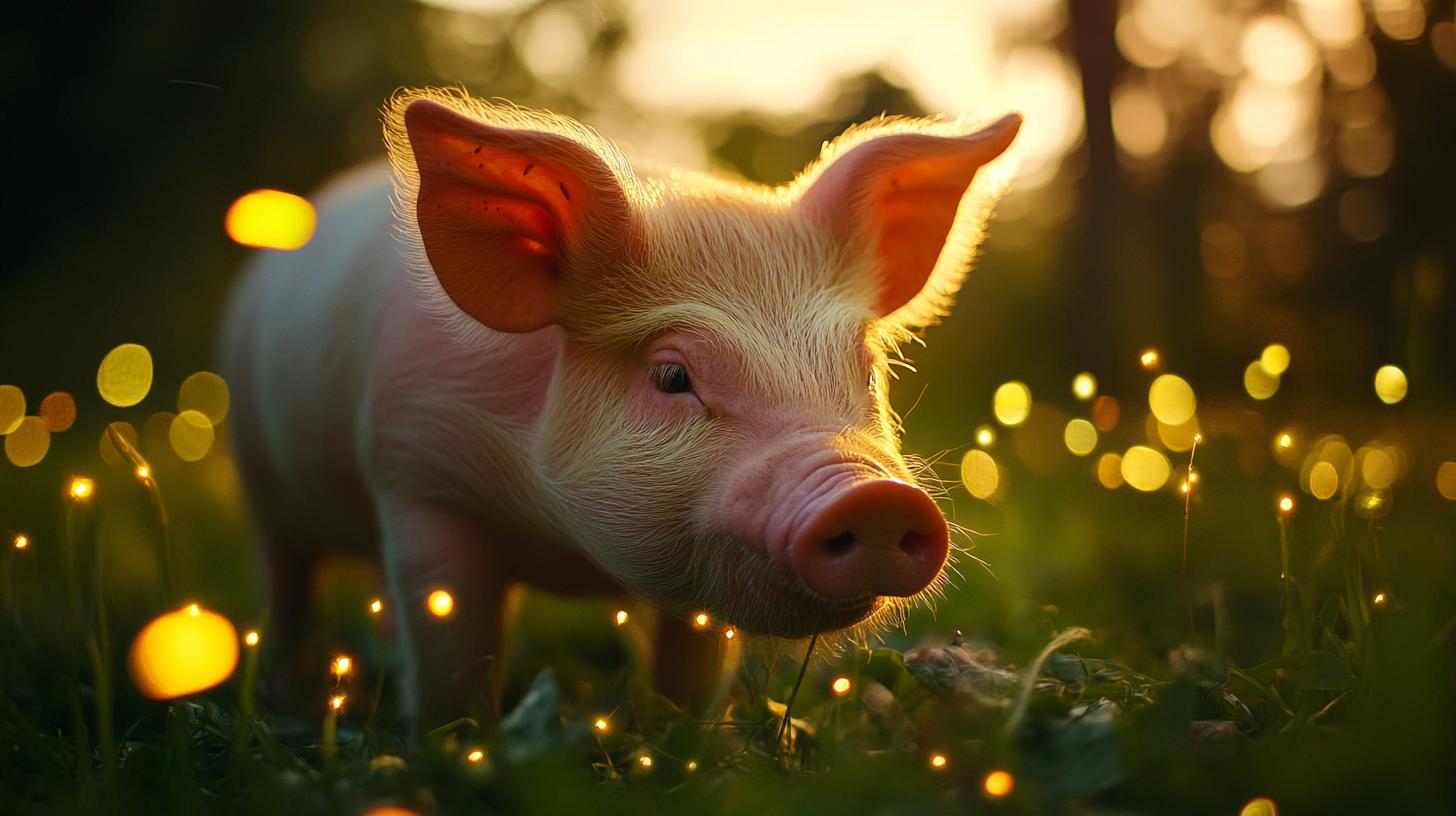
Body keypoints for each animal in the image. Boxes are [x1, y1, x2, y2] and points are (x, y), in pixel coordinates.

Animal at [224, 89, 1025, 725]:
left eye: (865, 368)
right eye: (671, 375)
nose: (878, 496)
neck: (561, 545)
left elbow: (689, 671)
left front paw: (686, 749)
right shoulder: (415, 468)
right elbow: (453, 642)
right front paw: (451, 745)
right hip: (261, 484)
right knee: (287, 582)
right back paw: (282, 691)